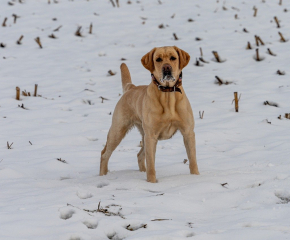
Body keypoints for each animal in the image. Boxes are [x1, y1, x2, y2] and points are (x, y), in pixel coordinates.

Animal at [99, 46, 199, 183]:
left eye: (173, 58)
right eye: (158, 59)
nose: (166, 68)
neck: (167, 95)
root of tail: (131, 87)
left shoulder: (188, 132)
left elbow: (193, 160)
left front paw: (196, 177)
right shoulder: (151, 136)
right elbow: (151, 164)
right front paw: (151, 183)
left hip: (142, 135)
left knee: (139, 155)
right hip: (118, 131)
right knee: (104, 154)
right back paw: (102, 176)